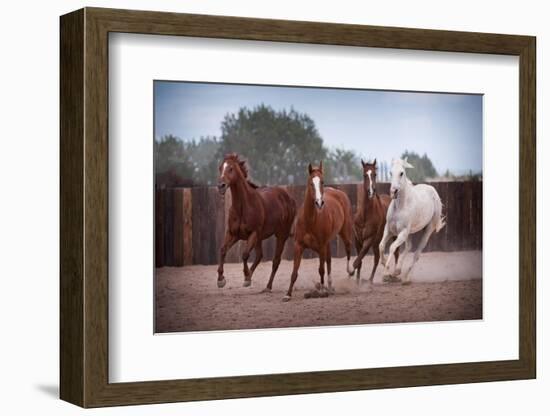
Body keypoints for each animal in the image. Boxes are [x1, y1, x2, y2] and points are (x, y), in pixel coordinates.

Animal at [218, 151, 300, 290]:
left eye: (231, 168)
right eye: (220, 168)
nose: (221, 186)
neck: (243, 207)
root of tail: (289, 198)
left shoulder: (253, 233)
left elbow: (245, 254)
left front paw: (246, 278)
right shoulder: (233, 234)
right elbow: (223, 250)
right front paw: (221, 279)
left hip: (281, 235)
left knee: (275, 260)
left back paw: (267, 286)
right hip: (260, 238)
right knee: (260, 255)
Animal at [282, 161, 356, 300]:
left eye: (322, 181)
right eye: (311, 183)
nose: (319, 202)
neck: (310, 219)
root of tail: (338, 192)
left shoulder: (321, 246)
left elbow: (321, 269)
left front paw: (321, 291)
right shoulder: (298, 245)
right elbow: (294, 271)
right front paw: (288, 294)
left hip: (345, 231)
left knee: (348, 249)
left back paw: (349, 271)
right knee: (329, 261)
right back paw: (330, 286)